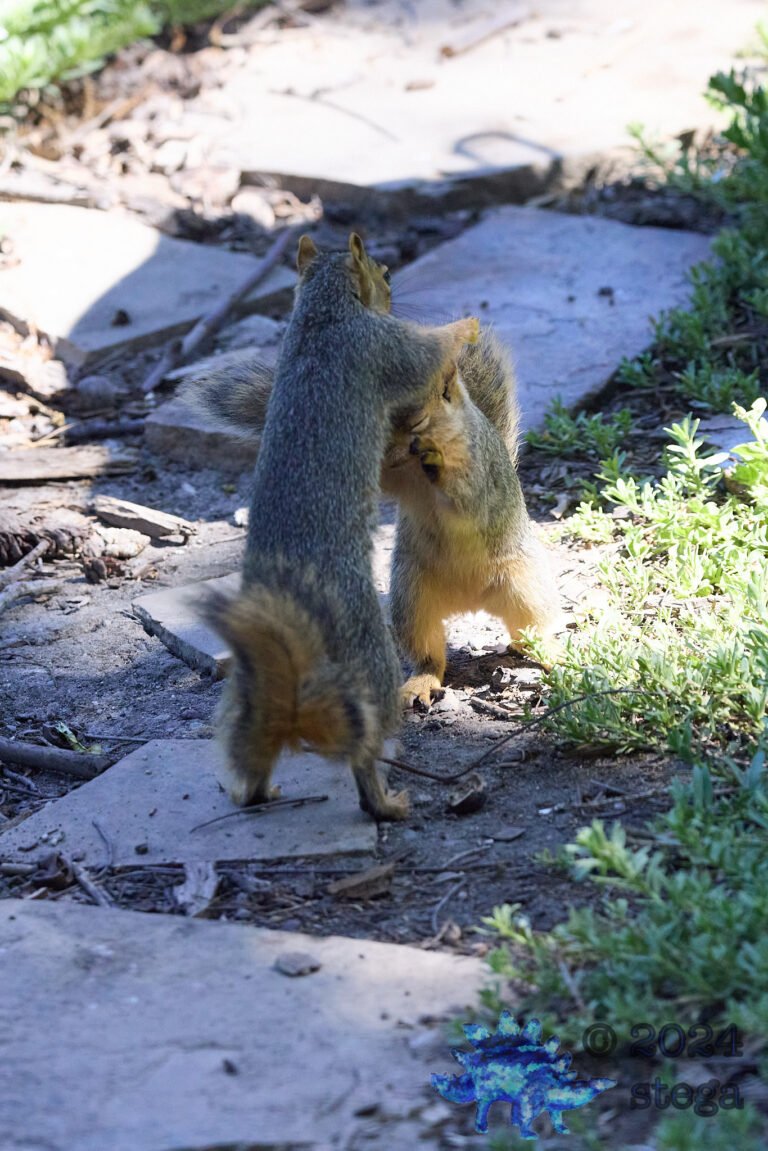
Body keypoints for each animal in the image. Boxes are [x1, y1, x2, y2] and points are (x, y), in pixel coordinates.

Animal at [184, 277, 562, 711]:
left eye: (419, 412)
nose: (391, 444)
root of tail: (470, 602)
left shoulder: (479, 468)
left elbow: (466, 495)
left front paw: (439, 464)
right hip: (411, 600)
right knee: (430, 655)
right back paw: (419, 684)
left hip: (523, 586)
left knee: (533, 630)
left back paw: (551, 654)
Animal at [202, 232, 479, 821]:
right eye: (387, 273)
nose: (395, 294)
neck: (319, 314)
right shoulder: (384, 349)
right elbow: (427, 355)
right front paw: (464, 327)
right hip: (368, 651)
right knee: (364, 746)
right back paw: (385, 801)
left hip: (251, 684)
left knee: (255, 742)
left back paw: (257, 792)